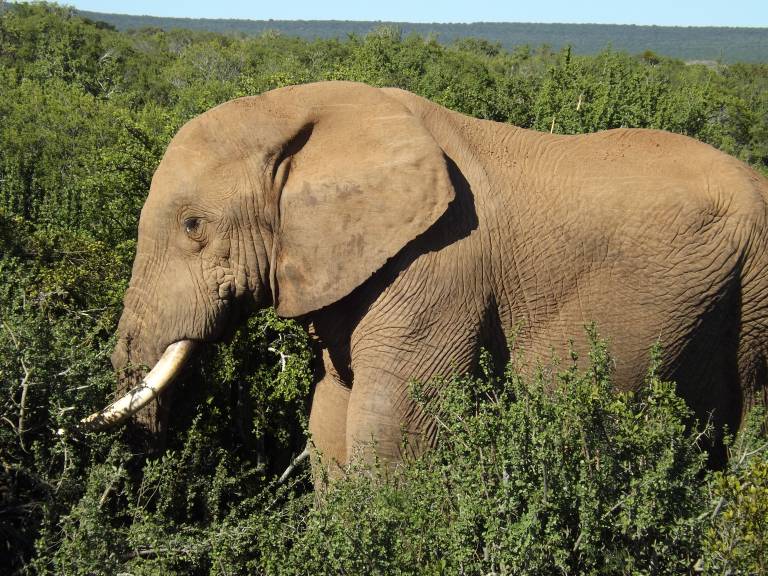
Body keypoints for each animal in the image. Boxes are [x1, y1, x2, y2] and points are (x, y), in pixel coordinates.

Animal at [84, 77, 768, 472]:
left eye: (193, 226)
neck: (298, 113)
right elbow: (332, 413)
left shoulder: (439, 266)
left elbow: (393, 428)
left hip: (758, 289)